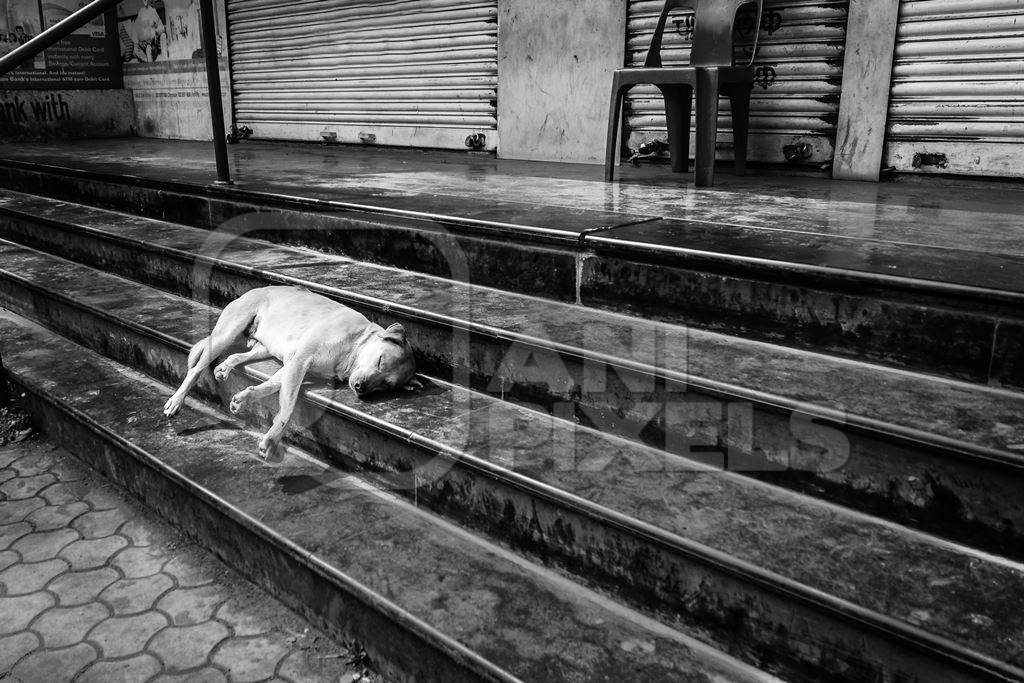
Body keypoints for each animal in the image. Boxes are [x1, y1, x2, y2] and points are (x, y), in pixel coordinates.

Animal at [163, 286, 419, 456]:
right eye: (380, 360)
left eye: (386, 384)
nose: (360, 388)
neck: (353, 347)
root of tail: (256, 289)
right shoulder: (300, 360)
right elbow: (287, 408)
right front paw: (272, 438)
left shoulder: (293, 364)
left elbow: (270, 386)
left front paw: (245, 398)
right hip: (227, 333)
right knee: (195, 370)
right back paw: (176, 401)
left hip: (264, 347)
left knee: (236, 356)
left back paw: (225, 367)